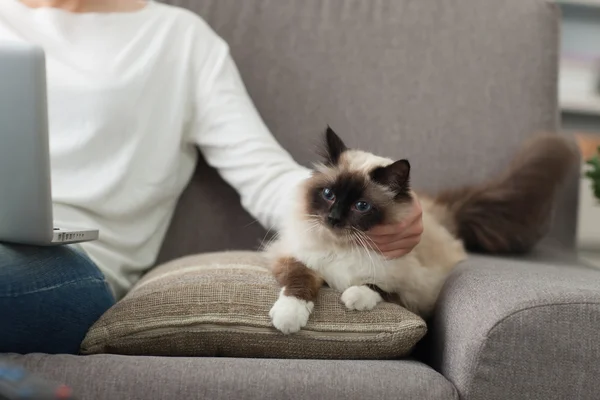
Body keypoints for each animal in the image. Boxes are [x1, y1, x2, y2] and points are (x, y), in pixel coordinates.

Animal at [264, 126, 580, 332]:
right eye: (329, 194)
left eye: (361, 206)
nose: (333, 218)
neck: (347, 246)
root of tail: (440, 211)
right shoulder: (292, 256)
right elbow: (299, 281)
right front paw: (288, 320)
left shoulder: (416, 290)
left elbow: (376, 287)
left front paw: (353, 298)